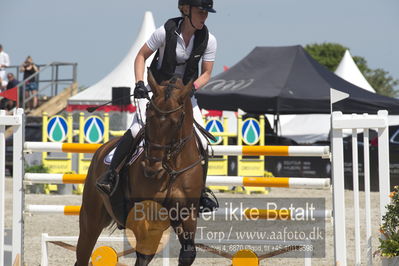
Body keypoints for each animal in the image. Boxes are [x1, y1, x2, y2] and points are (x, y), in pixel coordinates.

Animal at [76, 71, 206, 266]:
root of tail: (102, 148)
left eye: (176, 122)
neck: (172, 169)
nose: (152, 168)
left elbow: (187, 253)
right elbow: (144, 254)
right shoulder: (144, 215)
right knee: (83, 254)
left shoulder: (186, 213)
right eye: (148, 115)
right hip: (91, 221)